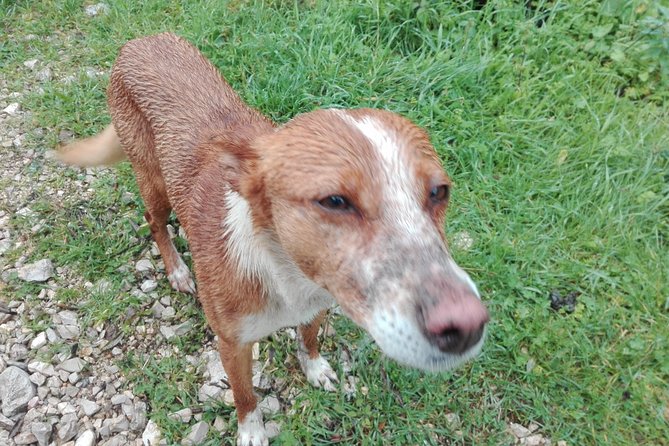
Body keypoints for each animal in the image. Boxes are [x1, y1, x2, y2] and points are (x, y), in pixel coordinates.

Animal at [60, 33, 488, 444]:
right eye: (334, 201)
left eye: (439, 192)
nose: (466, 326)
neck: (287, 278)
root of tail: (137, 43)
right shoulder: (232, 345)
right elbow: (245, 397)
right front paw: (252, 432)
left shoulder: (319, 303)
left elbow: (309, 340)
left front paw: (314, 368)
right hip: (154, 182)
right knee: (154, 221)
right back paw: (178, 270)